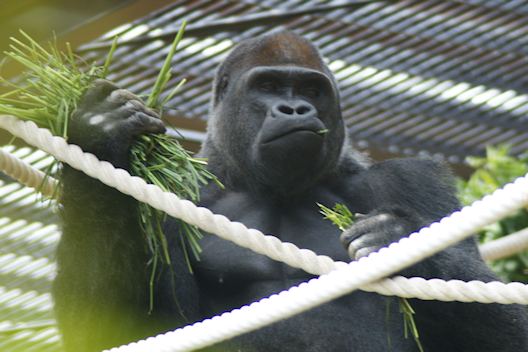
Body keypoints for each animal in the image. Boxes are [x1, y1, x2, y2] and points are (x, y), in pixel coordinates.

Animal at [54, 31, 528, 352]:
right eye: (266, 87)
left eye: (311, 90)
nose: (295, 108)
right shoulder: (171, 203)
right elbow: (118, 329)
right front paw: (99, 136)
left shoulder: (414, 181)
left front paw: (401, 242)